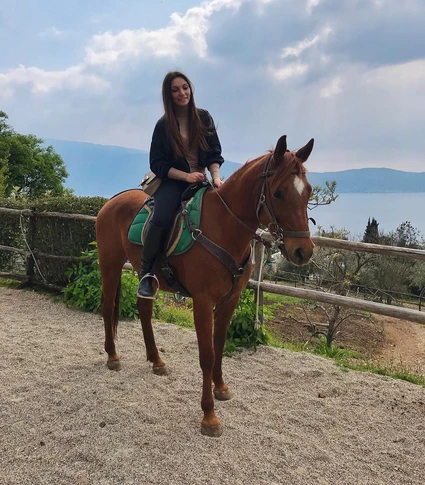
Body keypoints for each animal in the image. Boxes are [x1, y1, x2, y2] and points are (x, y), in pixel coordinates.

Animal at [97, 134, 314, 436]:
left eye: (308, 192)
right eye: (280, 193)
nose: (303, 251)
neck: (223, 228)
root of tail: (112, 201)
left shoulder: (230, 300)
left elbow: (219, 344)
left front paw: (220, 388)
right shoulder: (202, 302)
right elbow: (207, 354)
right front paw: (209, 416)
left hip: (145, 275)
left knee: (144, 310)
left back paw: (156, 360)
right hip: (111, 266)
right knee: (108, 307)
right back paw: (112, 356)